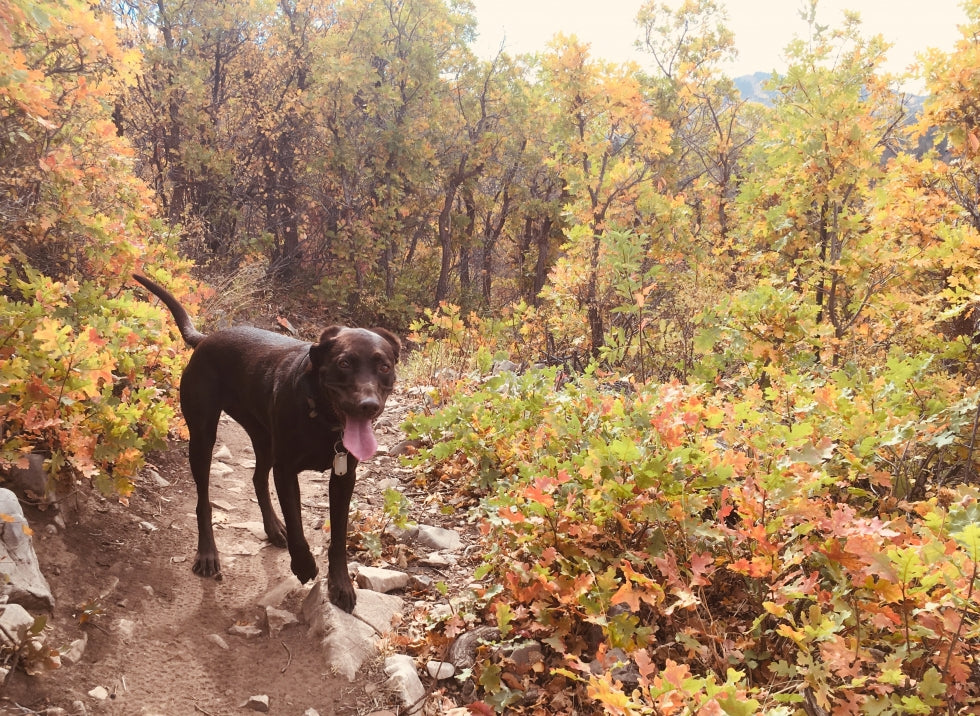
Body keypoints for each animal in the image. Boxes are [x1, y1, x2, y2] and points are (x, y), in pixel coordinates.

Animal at [134, 272, 402, 608]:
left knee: (257, 478)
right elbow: (298, 525)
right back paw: (208, 554)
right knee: (203, 501)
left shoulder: (344, 476)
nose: (368, 405)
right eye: (344, 363)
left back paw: (273, 528)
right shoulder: (286, 472)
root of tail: (206, 339)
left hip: (263, 439)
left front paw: (341, 584)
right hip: (203, 436)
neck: (321, 417)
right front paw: (303, 565)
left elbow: (339, 536)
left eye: (384, 366)